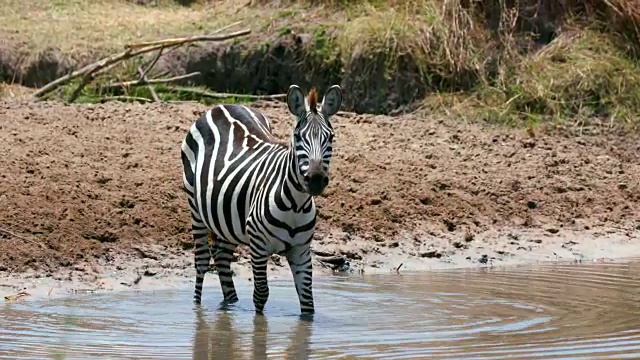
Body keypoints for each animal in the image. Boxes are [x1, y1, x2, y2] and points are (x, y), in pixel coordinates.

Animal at [178, 84, 342, 316]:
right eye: (297, 137)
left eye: (331, 138)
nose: (316, 179)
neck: (296, 204)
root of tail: (223, 105)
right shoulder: (258, 245)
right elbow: (261, 294)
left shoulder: (301, 250)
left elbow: (308, 301)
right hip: (195, 206)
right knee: (201, 261)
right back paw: (197, 307)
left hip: (226, 218)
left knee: (221, 257)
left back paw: (231, 304)